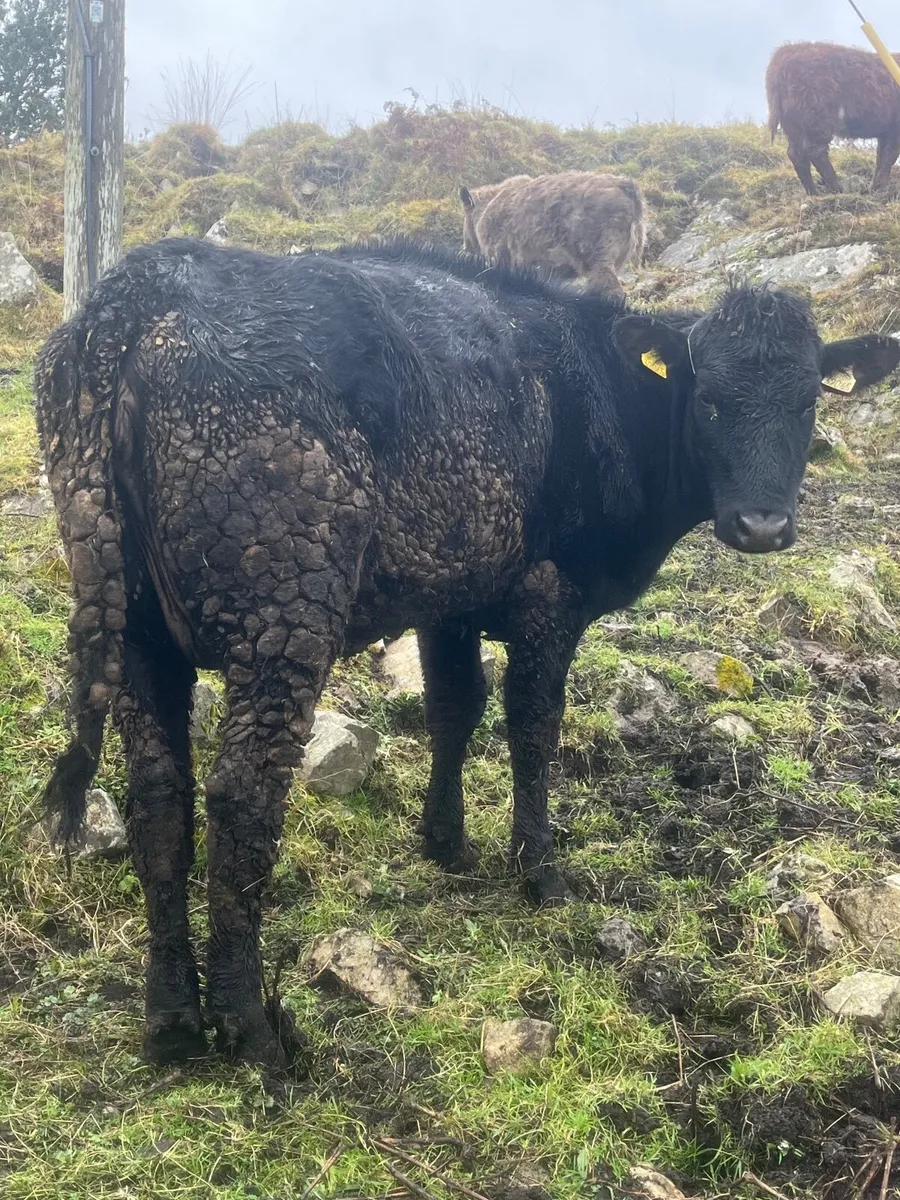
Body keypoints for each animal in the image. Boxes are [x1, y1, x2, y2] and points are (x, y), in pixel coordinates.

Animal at [35, 236, 900, 1068]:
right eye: (711, 399)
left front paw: (444, 842)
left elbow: (454, 707)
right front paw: (539, 869)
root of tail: (144, 286)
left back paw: (173, 1020)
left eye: (807, 401)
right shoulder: (550, 590)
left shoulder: (447, 593)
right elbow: (531, 725)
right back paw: (249, 1028)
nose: (762, 526)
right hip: (282, 606)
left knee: (158, 796)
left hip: (134, 624)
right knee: (242, 793)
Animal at [459, 171, 646, 295]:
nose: (465, 249)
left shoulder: (501, 259)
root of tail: (625, 186)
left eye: (465, 215)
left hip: (598, 260)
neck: (487, 207)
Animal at [766, 41, 900, 195]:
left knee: (796, 154)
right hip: (818, 118)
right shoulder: (894, 128)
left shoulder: (887, 131)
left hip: (793, 123)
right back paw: (838, 189)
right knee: (815, 152)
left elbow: (881, 156)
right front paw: (881, 190)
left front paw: (874, 188)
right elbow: (889, 156)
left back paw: (813, 193)